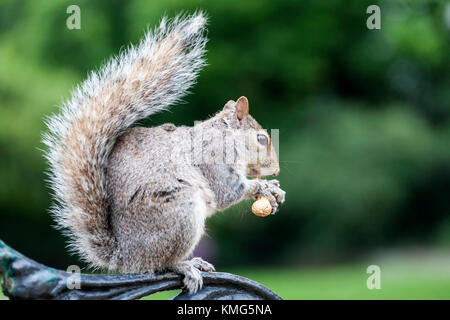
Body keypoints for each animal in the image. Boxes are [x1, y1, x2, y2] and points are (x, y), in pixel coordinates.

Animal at [42, 11, 284, 292]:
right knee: (162, 263)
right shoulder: (213, 161)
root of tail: (127, 256)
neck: (224, 135)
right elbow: (228, 192)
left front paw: (273, 187)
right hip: (180, 214)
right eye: (261, 138)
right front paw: (264, 188)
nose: (276, 169)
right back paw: (185, 266)